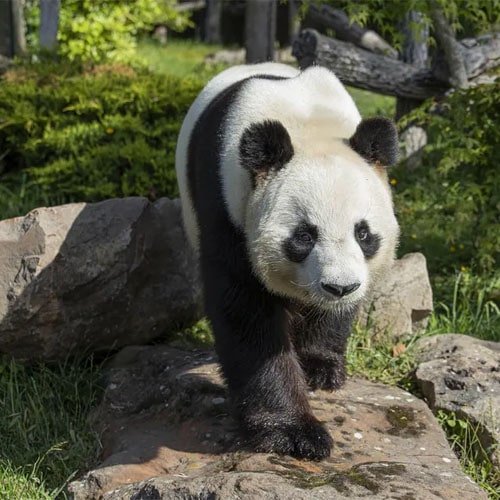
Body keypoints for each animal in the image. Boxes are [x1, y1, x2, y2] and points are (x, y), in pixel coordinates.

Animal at [176, 63, 398, 460]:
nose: (339, 287)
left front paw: (320, 367)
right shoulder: (229, 206)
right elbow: (246, 314)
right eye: (304, 236)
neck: (307, 121)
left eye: (363, 233)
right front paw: (295, 433)